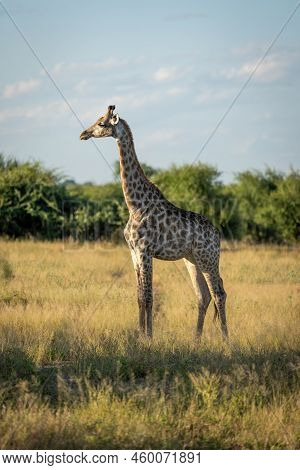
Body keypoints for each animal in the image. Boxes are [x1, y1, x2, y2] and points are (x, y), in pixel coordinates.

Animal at [79, 105, 227, 340]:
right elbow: (140, 296)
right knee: (203, 295)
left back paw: (225, 339)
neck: (134, 204)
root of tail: (217, 234)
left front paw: (149, 337)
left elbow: (149, 297)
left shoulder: (145, 251)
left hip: (209, 258)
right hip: (192, 260)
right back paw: (196, 340)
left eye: (102, 123)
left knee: (219, 293)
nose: (83, 134)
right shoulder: (133, 252)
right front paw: (141, 335)